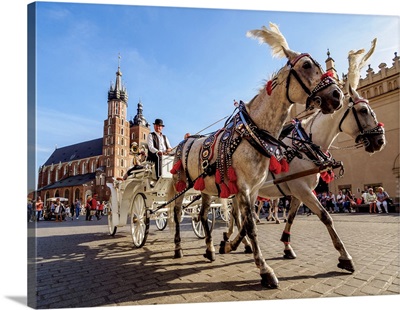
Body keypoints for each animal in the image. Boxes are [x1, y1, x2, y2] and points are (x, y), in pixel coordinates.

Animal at [167, 22, 342, 288]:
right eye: (306, 65)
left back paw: (209, 249)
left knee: (203, 216)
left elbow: (244, 223)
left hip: (205, 189)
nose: (337, 95)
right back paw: (178, 247)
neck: (253, 132)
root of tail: (185, 140)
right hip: (181, 185)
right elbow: (249, 225)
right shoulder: (245, 188)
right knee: (177, 214)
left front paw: (229, 244)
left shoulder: (254, 189)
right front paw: (264, 269)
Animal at [220, 38, 386, 274]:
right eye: (363, 111)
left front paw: (287, 246)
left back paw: (238, 241)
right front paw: (344, 256)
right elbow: (326, 217)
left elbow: (290, 217)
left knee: (238, 215)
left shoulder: (298, 192)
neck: (306, 145)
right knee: (237, 215)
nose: (380, 140)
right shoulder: (301, 189)